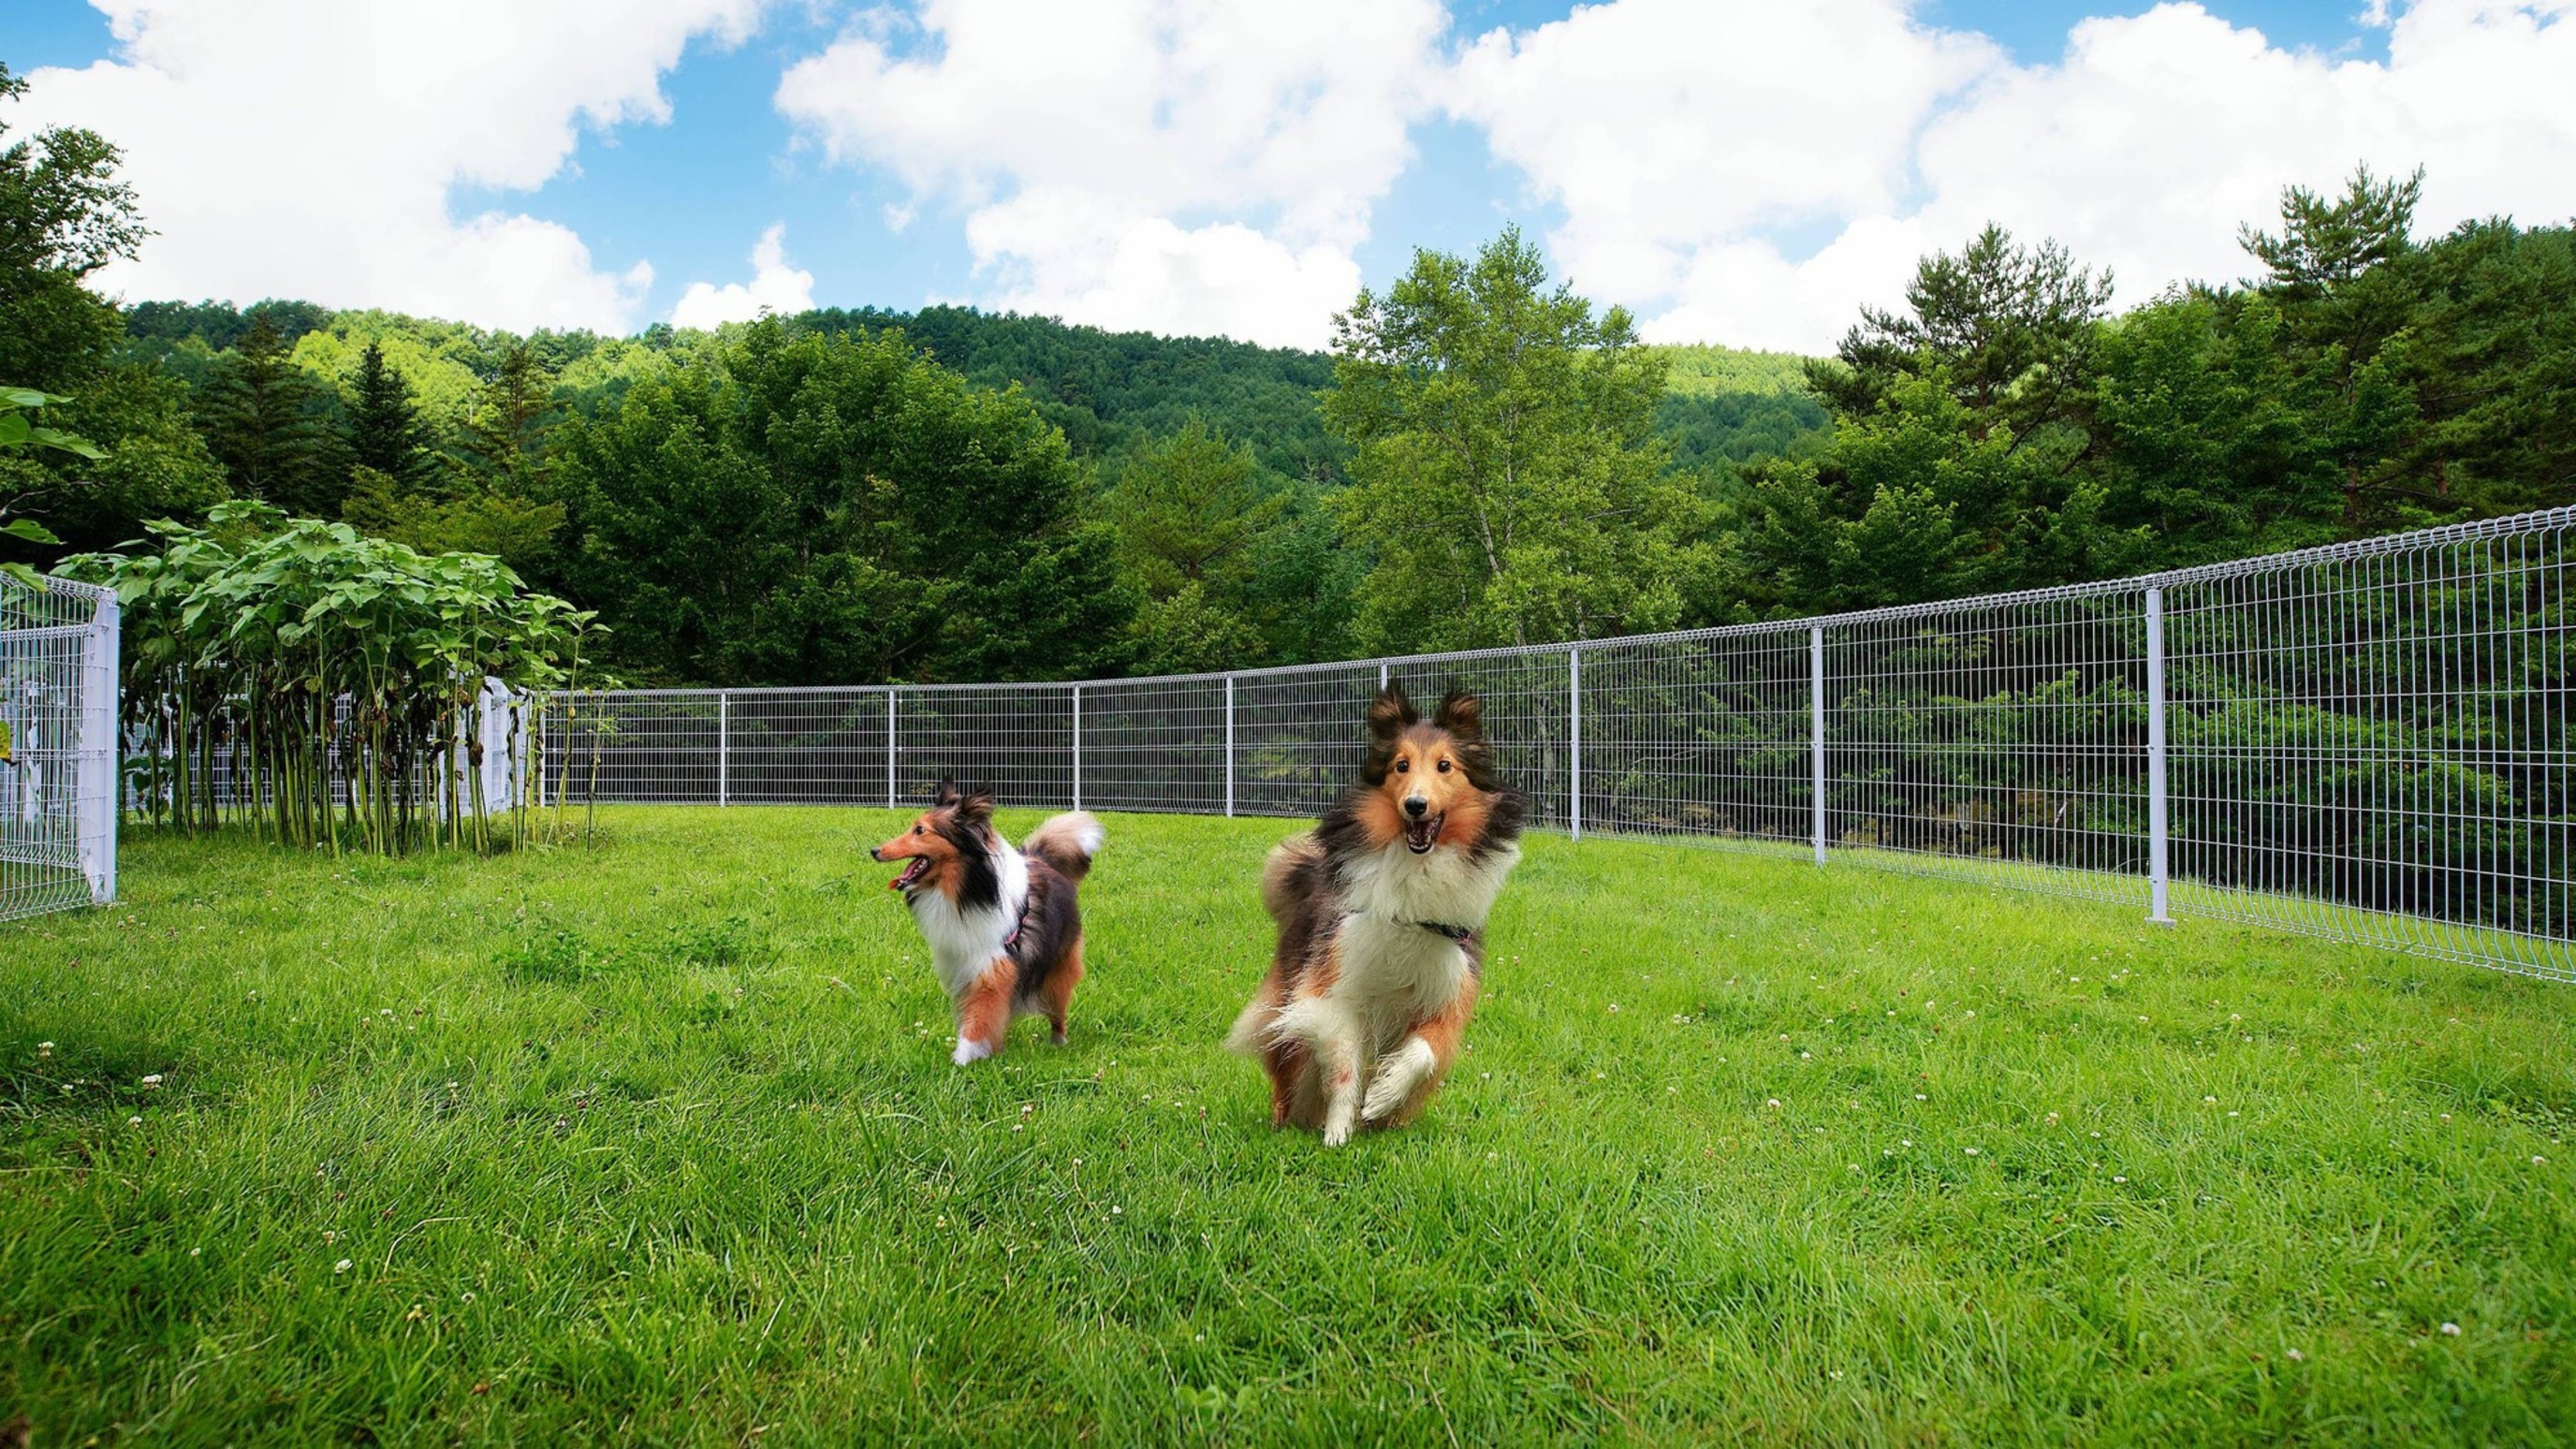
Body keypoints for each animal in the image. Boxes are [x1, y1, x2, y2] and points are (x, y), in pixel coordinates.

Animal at [871, 778, 1102, 1061]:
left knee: (1058, 1010)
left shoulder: (992, 965)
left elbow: (980, 1016)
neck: (967, 891)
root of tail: (1043, 859)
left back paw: (1058, 1043)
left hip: (1059, 969)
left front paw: (962, 1058)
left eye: (920, 830)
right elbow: (980, 1014)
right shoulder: (962, 966)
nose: (874, 851)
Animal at [1231, 681, 1525, 1144]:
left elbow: (1425, 1051)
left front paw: (1384, 1095)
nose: (1416, 805)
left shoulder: (1451, 988)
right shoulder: (1333, 988)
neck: (1417, 873)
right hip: (1288, 1019)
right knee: (1287, 1079)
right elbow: (1345, 1067)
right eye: (1401, 765)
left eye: (1445, 766)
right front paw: (1338, 1133)